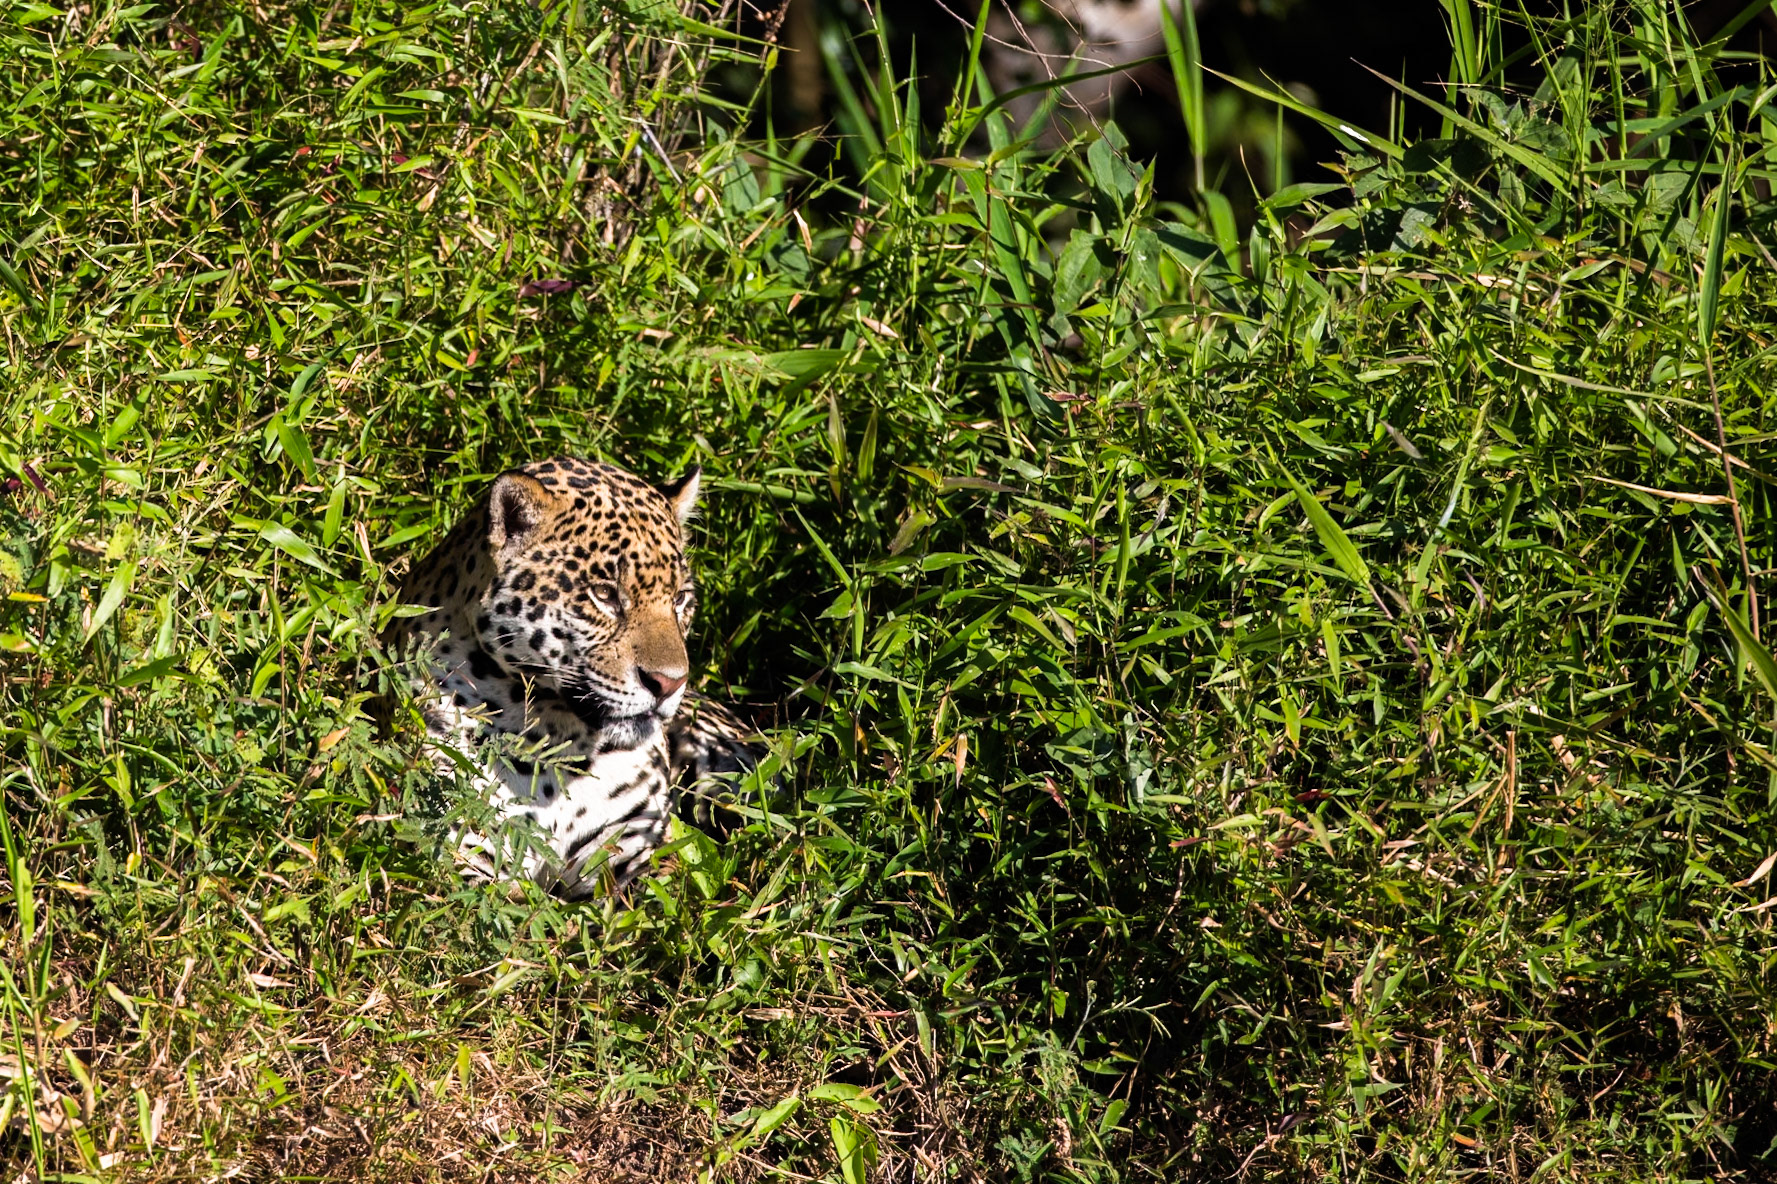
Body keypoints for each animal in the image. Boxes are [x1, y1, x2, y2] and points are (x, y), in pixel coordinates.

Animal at [381, 456, 762, 898]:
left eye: (680, 598)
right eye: (605, 594)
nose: (669, 683)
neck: (554, 737)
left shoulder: (638, 848)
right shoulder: (459, 844)